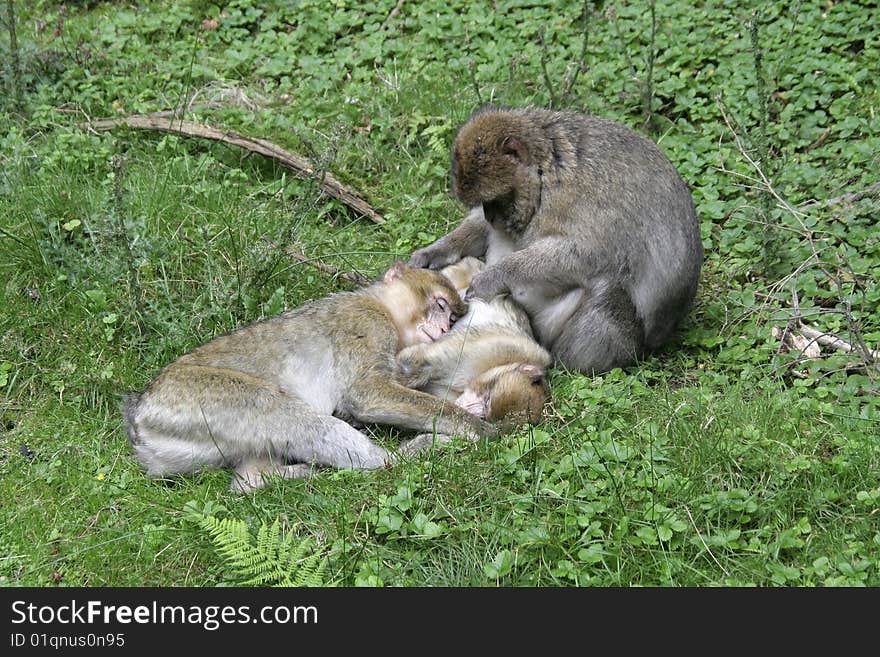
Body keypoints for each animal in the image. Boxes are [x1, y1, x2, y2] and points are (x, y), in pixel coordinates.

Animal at [124, 258, 496, 490]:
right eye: (440, 305)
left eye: (451, 318)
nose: (444, 328)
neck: (382, 307)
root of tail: (139, 416)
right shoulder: (366, 323)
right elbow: (365, 395)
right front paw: (478, 429)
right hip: (194, 395)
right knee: (281, 411)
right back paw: (398, 458)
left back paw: (261, 479)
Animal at [410, 107, 704, 374]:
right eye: (485, 204)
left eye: (495, 200)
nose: (491, 216)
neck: (548, 172)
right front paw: (436, 251)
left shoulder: (586, 202)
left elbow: (588, 255)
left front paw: (491, 278)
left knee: (609, 287)